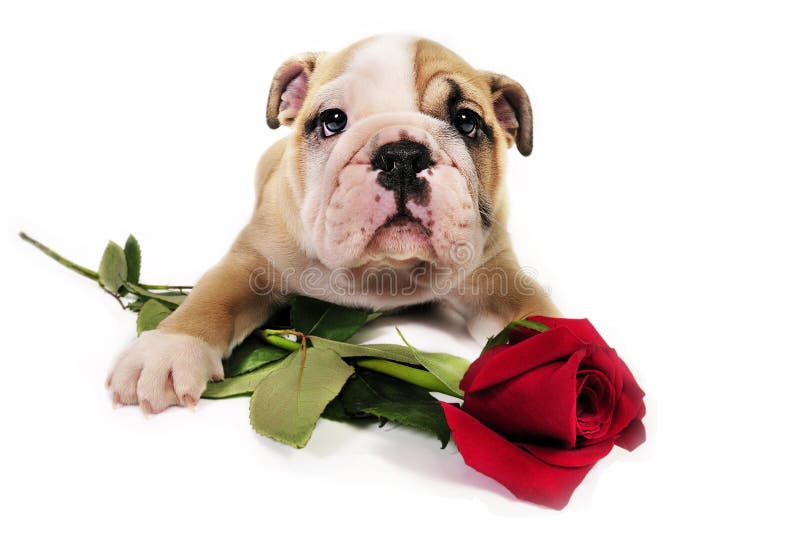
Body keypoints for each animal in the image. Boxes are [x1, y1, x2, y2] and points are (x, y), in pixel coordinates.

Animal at [106, 36, 560, 414]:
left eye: (467, 121)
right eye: (333, 120)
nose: (402, 155)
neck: (384, 268)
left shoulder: (495, 274)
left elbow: (539, 319)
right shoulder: (252, 259)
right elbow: (212, 297)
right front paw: (165, 351)